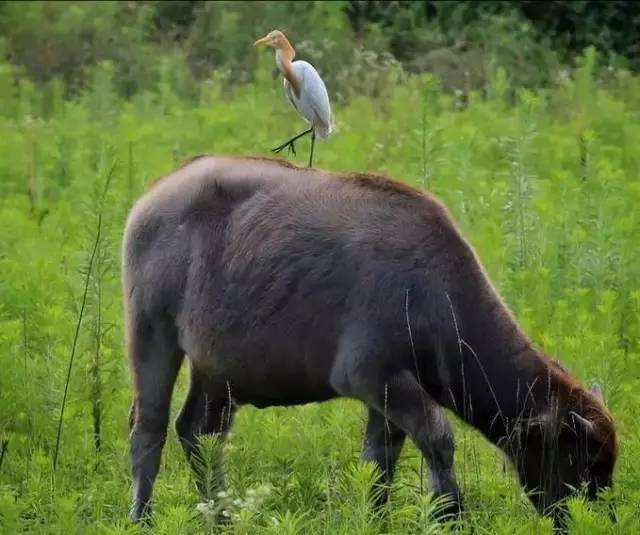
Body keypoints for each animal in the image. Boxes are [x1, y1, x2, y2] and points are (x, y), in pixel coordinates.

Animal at [122, 155, 616, 524]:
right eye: (587, 461)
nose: (602, 518)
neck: (432, 290)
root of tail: (152, 197)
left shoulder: (388, 397)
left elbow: (380, 464)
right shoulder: (373, 377)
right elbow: (439, 440)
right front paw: (452, 515)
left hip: (218, 371)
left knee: (199, 432)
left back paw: (222, 516)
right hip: (152, 334)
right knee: (149, 430)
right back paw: (142, 517)